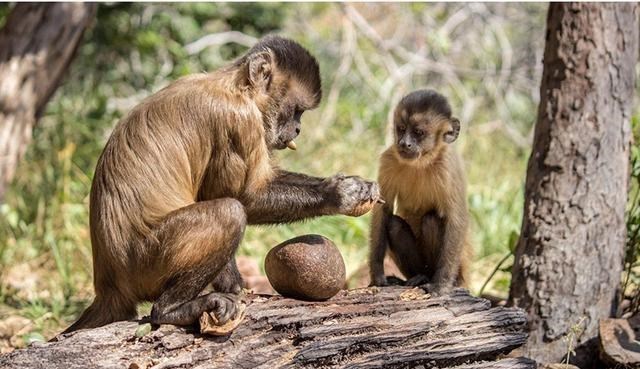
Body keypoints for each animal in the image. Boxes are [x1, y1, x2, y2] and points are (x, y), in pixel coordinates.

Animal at [62, 36, 380, 332]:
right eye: (297, 110)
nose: (298, 128)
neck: (235, 87)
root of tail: (108, 284)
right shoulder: (237, 120)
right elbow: (241, 198)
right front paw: (339, 194)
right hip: (144, 264)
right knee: (230, 211)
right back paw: (169, 311)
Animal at [370, 88, 470, 294]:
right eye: (401, 129)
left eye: (418, 132)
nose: (404, 144)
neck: (422, 162)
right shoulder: (389, 159)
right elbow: (383, 210)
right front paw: (377, 275)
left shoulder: (448, 166)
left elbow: (457, 220)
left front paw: (441, 284)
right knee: (394, 225)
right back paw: (418, 276)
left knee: (431, 220)